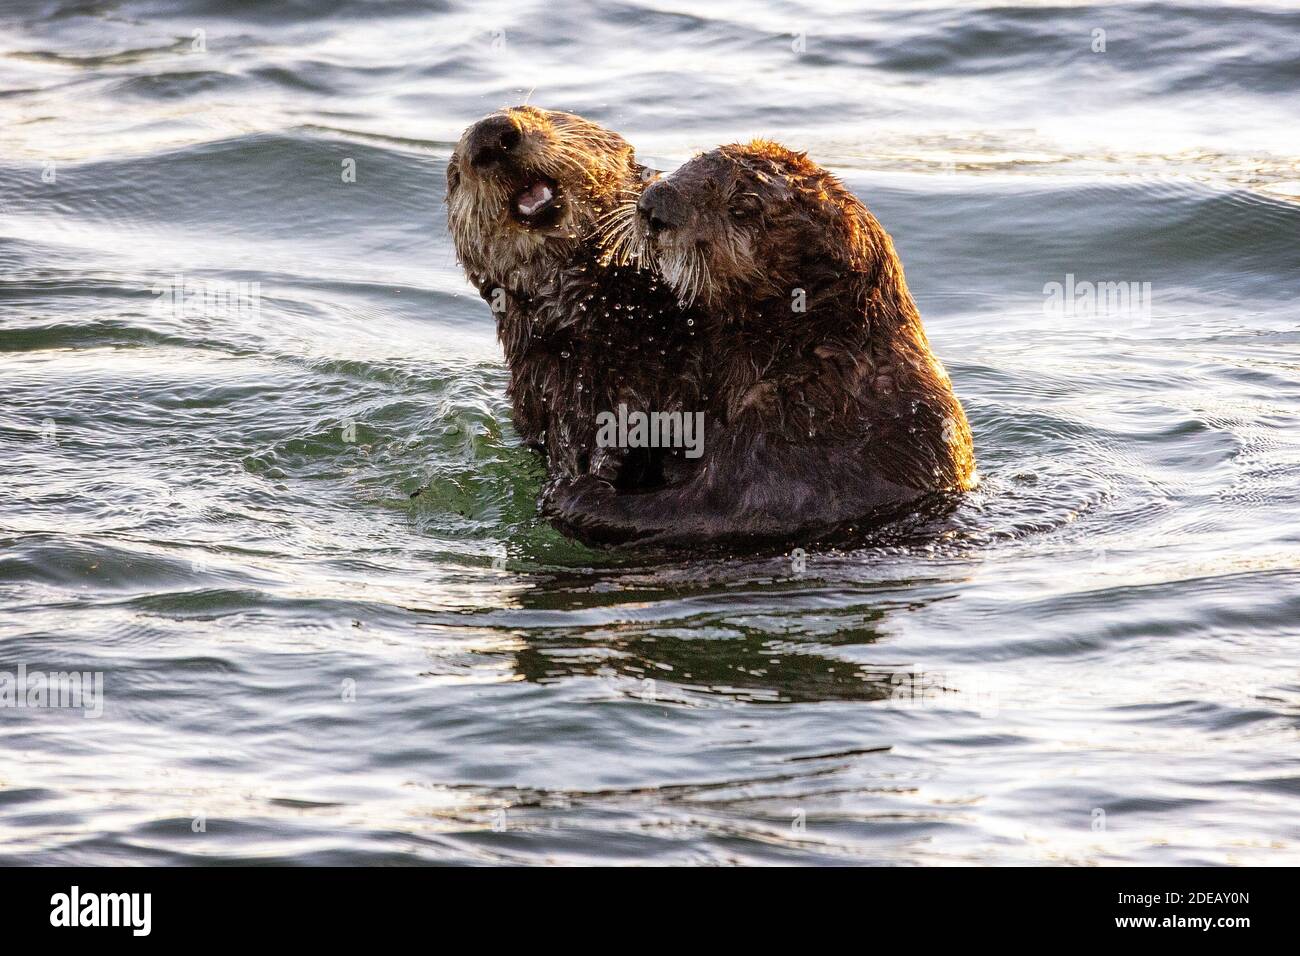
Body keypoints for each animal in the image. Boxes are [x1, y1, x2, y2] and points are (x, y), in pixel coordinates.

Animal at [540, 139, 977, 548]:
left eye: (742, 208)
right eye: (693, 162)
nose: (652, 205)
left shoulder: (797, 438)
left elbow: (715, 512)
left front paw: (572, 493)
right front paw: (618, 444)